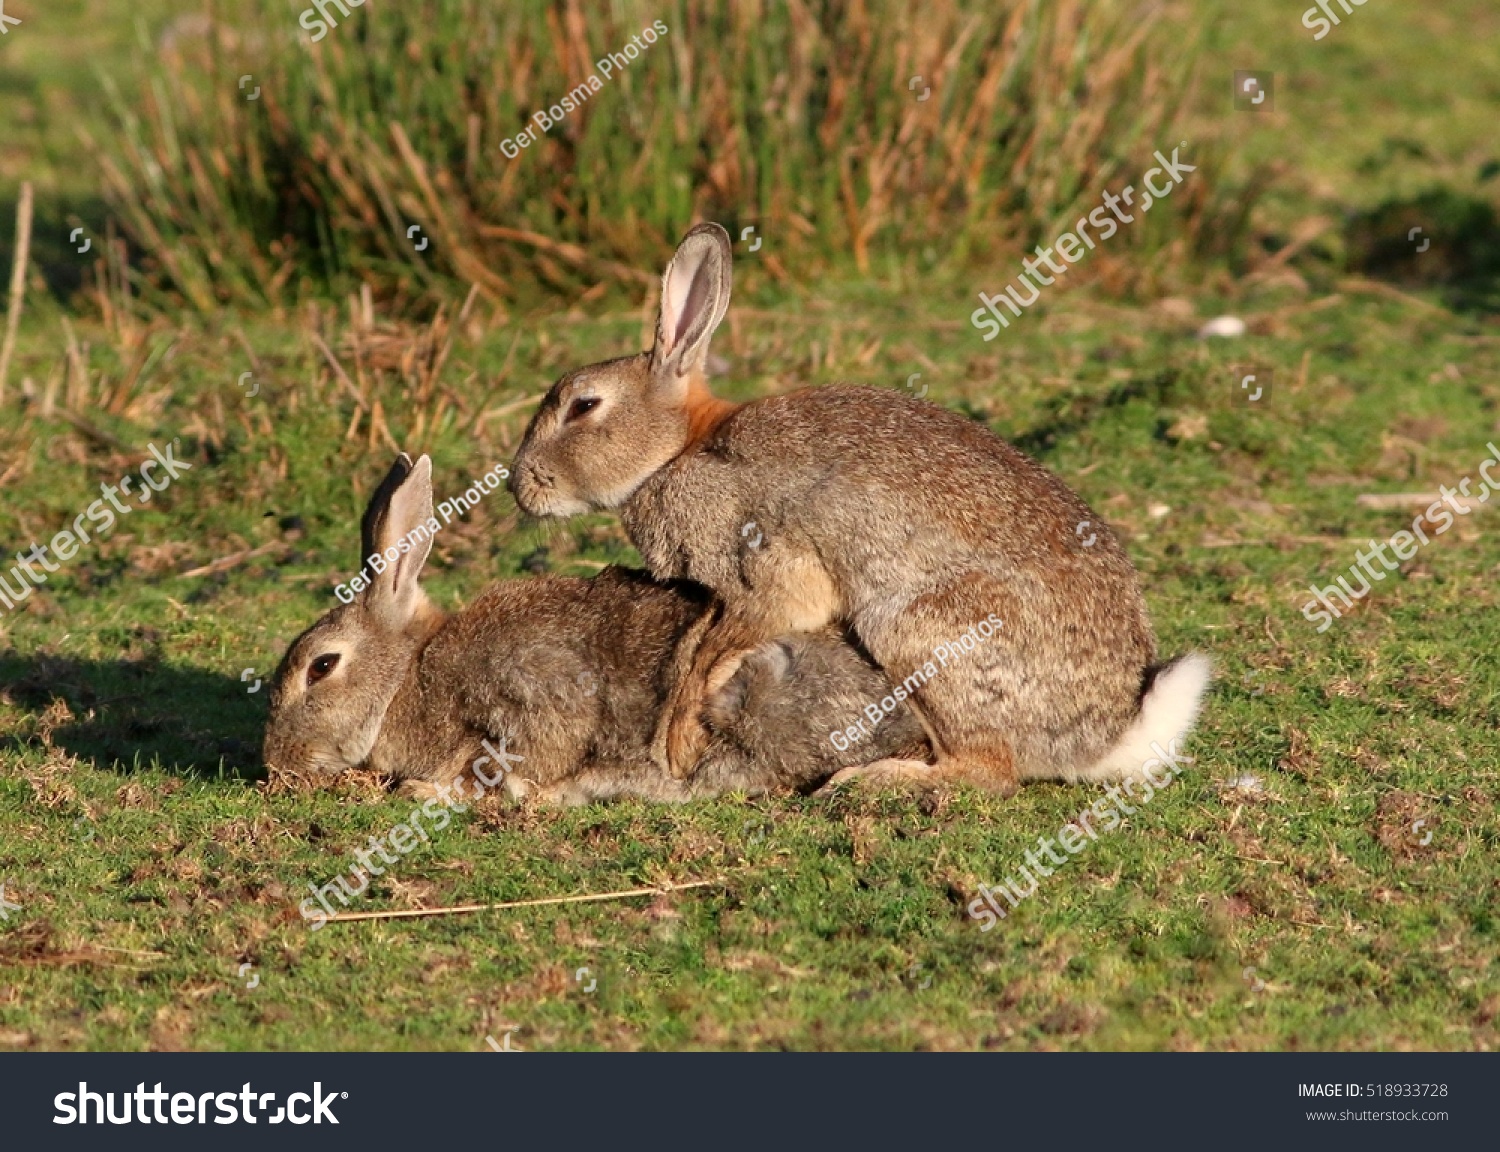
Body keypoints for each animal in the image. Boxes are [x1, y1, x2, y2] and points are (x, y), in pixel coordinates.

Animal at [264, 456, 930, 804]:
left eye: (322, 666)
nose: (275, 764)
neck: (407, 675)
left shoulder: (533, 684)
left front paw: (436, 792)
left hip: (756, 693)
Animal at [510, 222, 1212, 798]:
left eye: (583, 406)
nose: (520, 485)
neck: (676, 450)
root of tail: (1105, 736)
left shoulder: (770, 571)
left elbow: (724, 647)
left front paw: (677, 739)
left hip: (919, 631)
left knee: (988, 772)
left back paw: (870, 779)